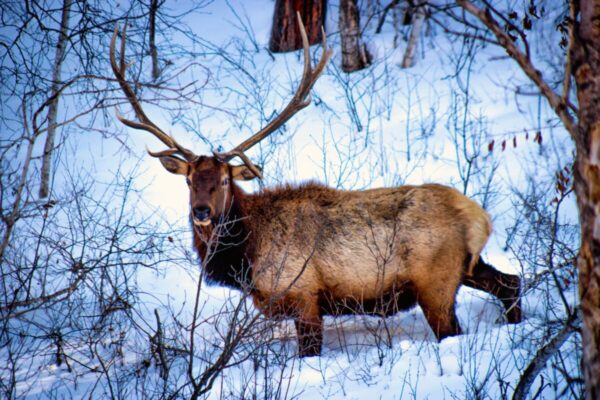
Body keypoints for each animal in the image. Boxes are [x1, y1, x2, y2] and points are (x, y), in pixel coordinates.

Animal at [111, 18, 520, 356]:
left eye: (225, 180)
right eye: (189, 180)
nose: (201, 211)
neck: (245, 257)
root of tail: (479, 218)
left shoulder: (304, 295)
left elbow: (309, 351)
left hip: (435, 282)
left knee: (455, 328)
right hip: (466, 267)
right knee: (511, 282)